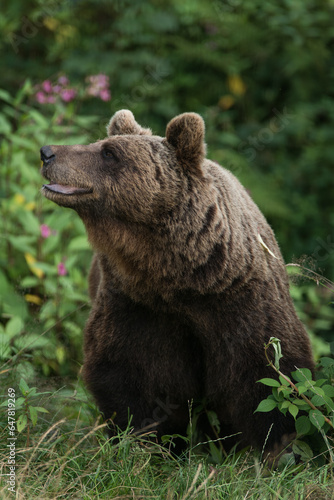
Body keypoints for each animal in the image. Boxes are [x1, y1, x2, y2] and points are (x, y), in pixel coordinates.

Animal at [40, 109, 314, 460]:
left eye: (108, 152)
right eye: (100, 144)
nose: (47, 152)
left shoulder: (241, 300)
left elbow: (267, 374)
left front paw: (274, 450)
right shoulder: (138, 304)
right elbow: (139, 375)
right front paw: (147, 444)